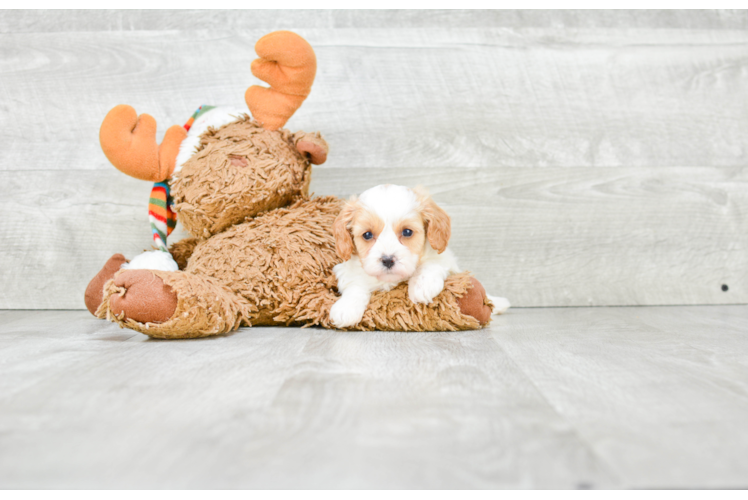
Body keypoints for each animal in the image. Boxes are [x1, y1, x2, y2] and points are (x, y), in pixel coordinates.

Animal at [332, 184, 512, 328]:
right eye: (367, 235)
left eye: (407, 232)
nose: (388, 260)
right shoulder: (349, 270)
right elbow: (356, 284)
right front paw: (346, 307)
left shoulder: (444, 258)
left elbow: (431, 264)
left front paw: (422, 285)